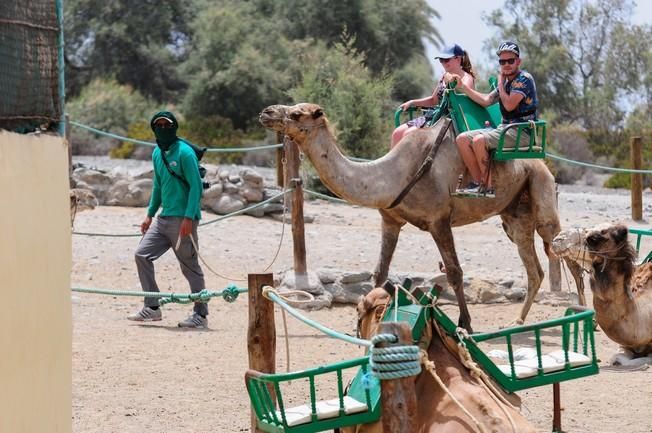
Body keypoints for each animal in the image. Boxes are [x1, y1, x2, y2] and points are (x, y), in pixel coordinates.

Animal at [258, 104, 580, 330]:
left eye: (297, 113)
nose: (266, 112)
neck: (392, 176)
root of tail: (541, 162)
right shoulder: (390, 220)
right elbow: (380, 271)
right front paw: (364, 318)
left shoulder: (439, 220)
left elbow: (455, 272)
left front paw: (466, 323)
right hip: (514, 216)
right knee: (534, 269)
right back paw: (517, 321)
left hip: (542, 195)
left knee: (566, 253)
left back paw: (582, 312)